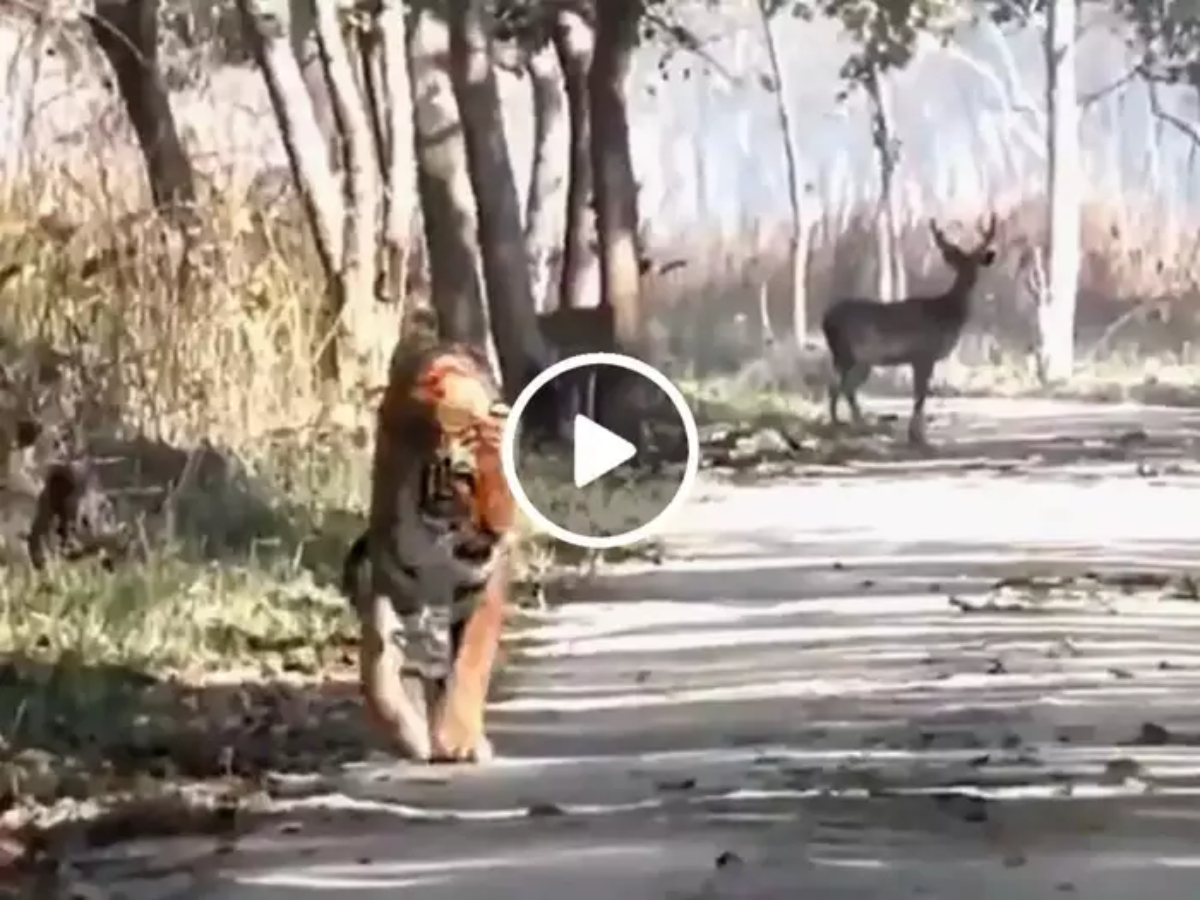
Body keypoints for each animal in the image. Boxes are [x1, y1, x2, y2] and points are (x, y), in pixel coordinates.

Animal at [343, 311, 517, 764]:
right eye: (466, 479)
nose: (499, 531)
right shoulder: (393, 583)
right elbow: (380, 671)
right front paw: (410, 736)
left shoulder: (481, 589)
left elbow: (470, 664)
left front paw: (458, 739)